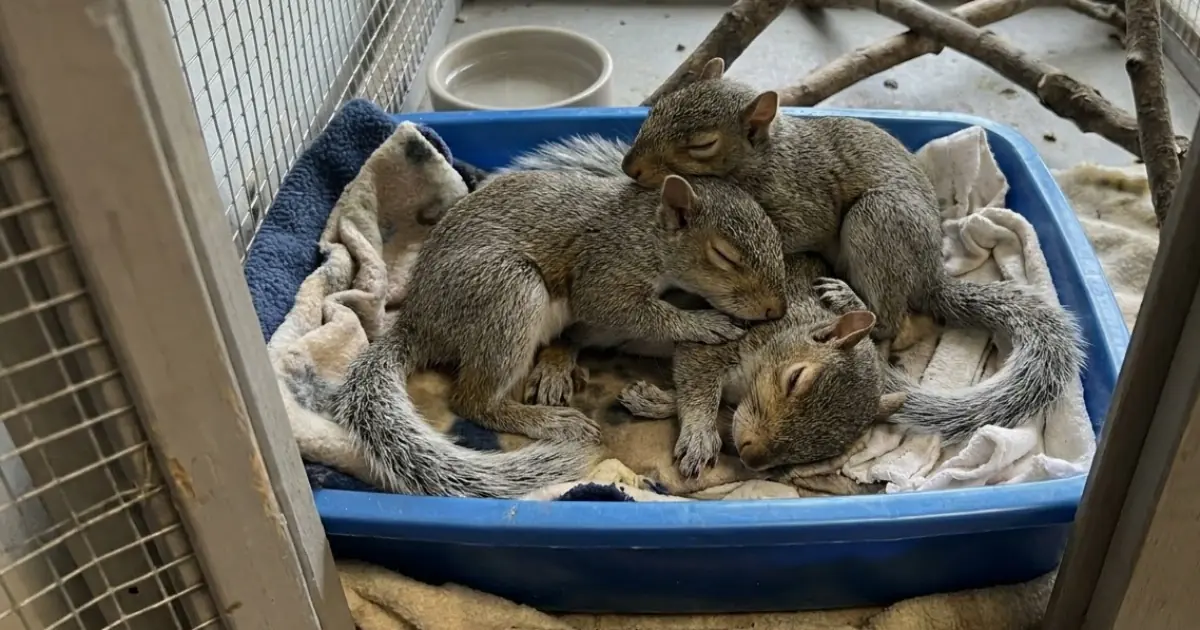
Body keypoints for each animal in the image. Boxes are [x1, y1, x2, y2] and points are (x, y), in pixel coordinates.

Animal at [329, 169, 787, 497]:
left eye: (775, 239)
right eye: (724, 255)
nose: (777, 309)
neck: (645, 230)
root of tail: (418, 322)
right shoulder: (605, 272)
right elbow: (628, 310)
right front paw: (705, 322)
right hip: (508, 292)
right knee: (472, 401)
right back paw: (552, 420)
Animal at [513, 58, 1083, 449]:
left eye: (701, 144)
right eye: (655, 110)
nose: (629, 168)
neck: (764, 159)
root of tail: (933, 275)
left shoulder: (798, 206)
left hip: (878, 221)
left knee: (893, 321)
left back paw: (851, 296)